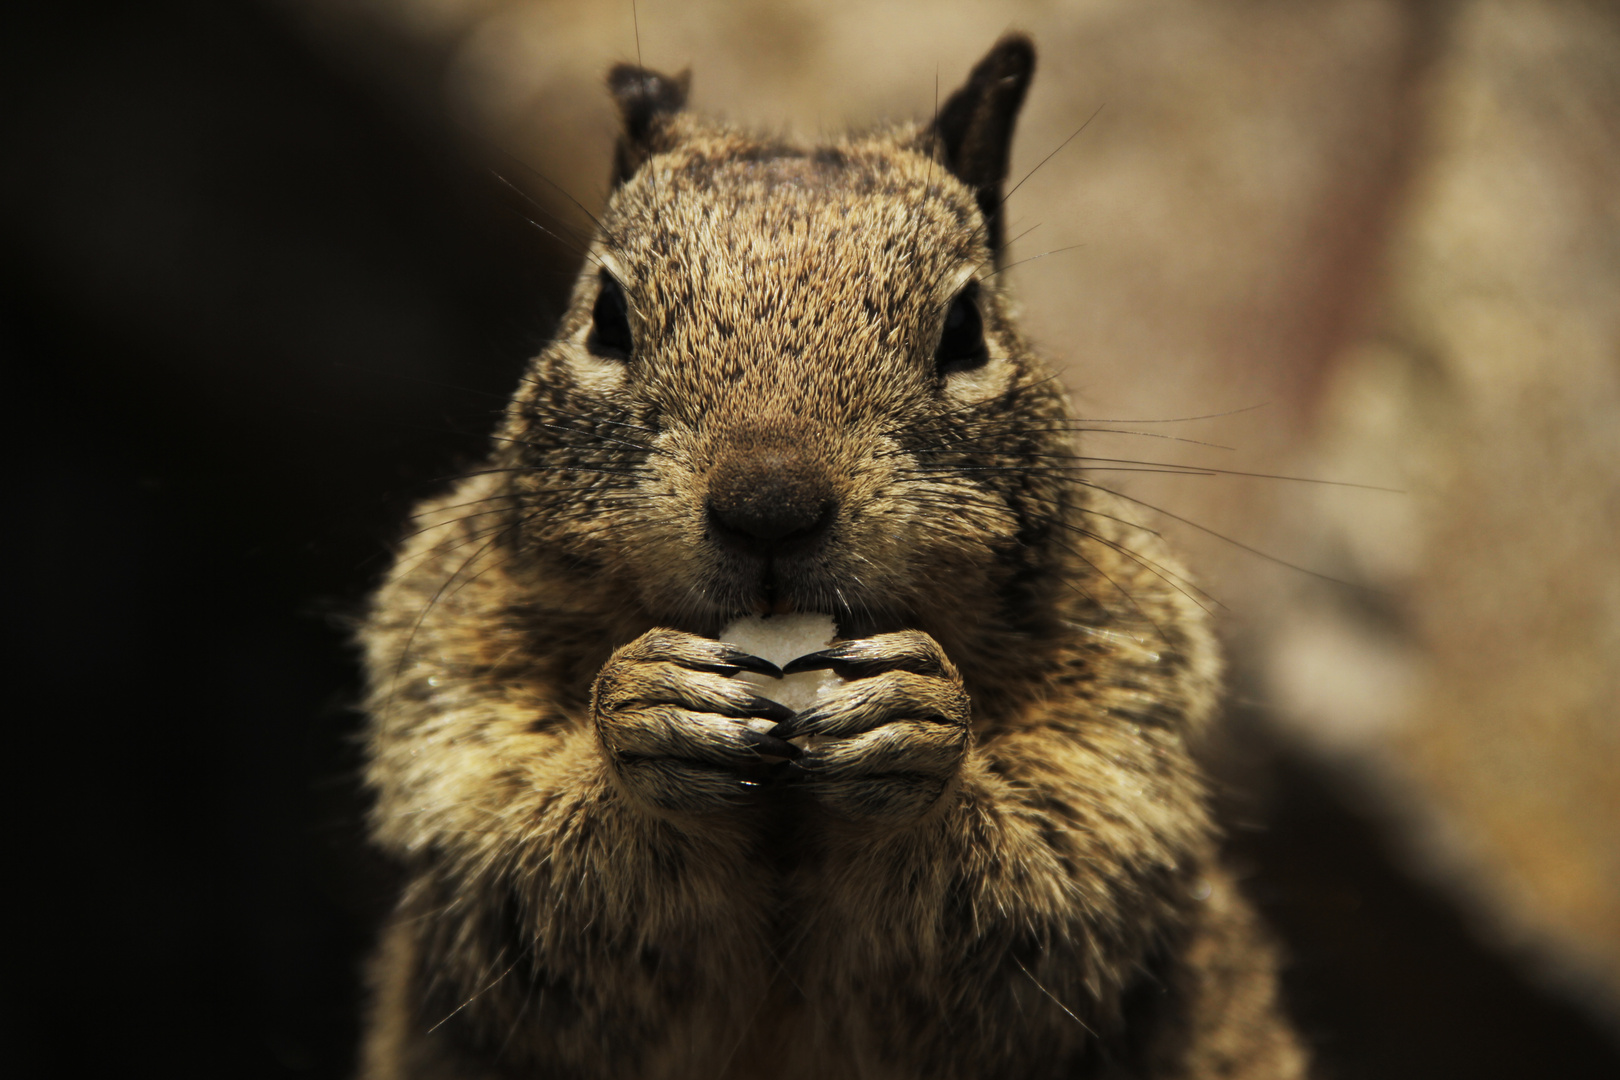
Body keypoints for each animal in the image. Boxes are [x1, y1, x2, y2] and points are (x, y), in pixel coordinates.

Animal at [354, 33, 1302, 1080]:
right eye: (605, 315)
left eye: (968, 328)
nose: (769, 507)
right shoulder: (455, 716)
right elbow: (525, 890)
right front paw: (641, 714)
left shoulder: (1119, 738)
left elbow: (1046, 900)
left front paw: (920, 726)